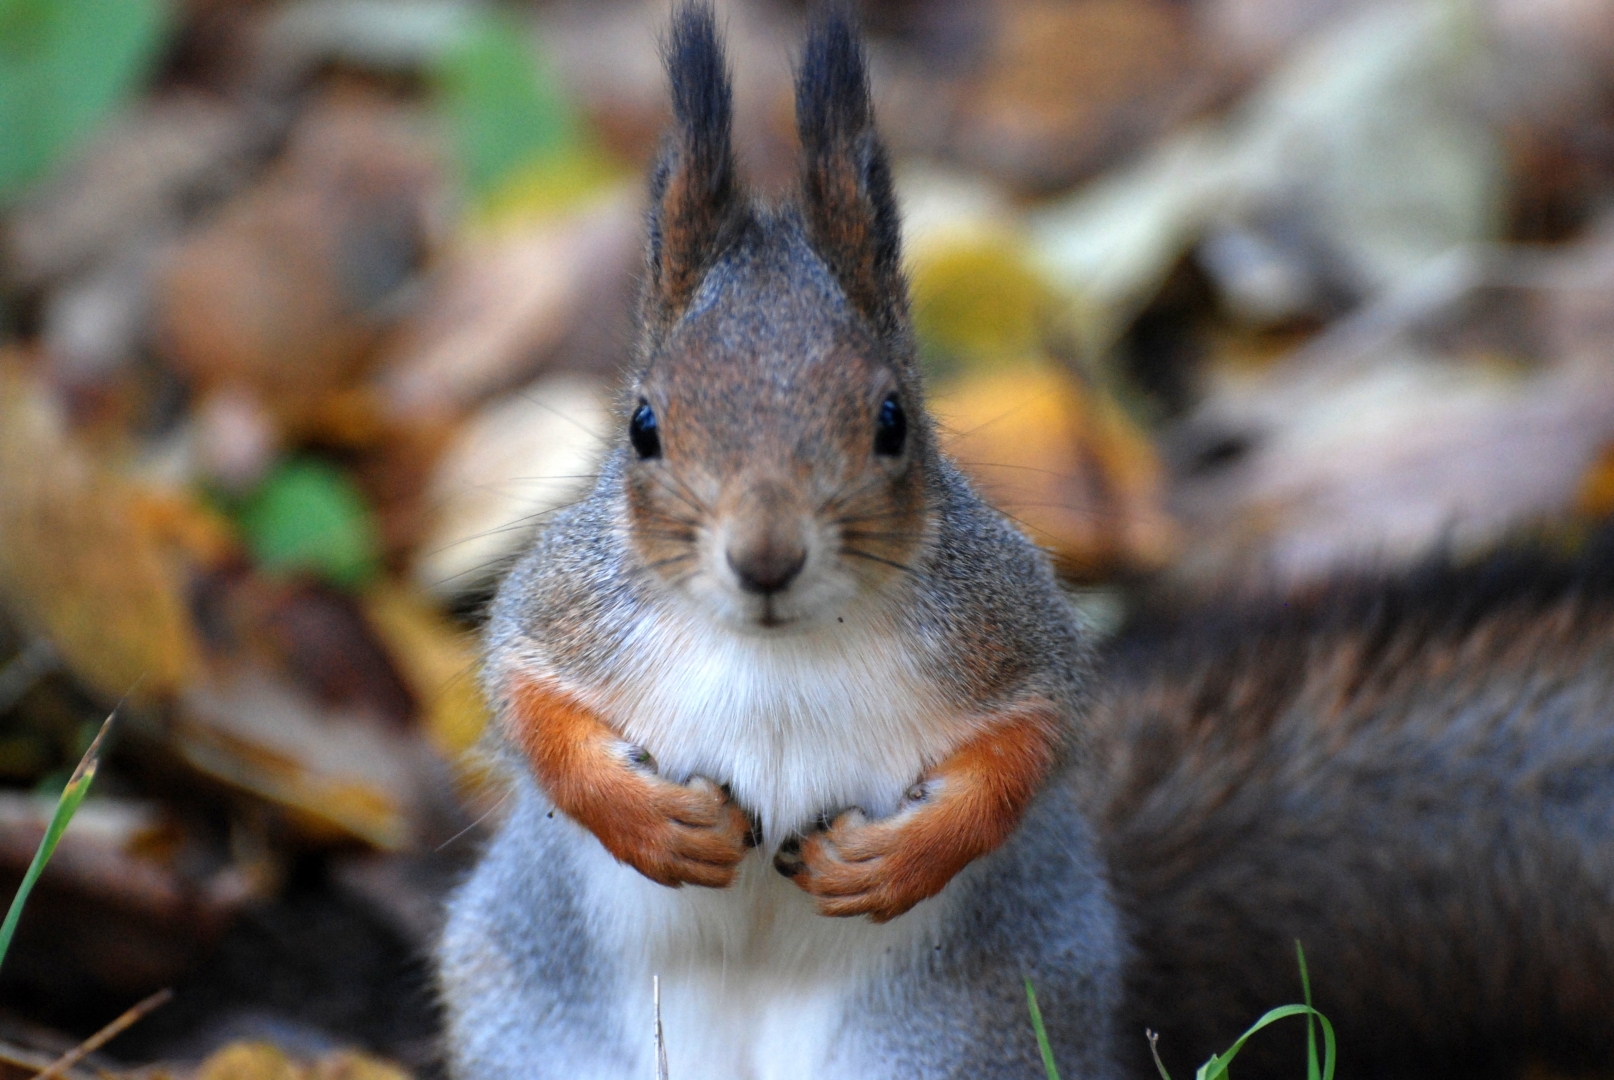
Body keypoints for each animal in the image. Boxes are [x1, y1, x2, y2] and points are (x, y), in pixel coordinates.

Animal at [435, 8, 1123, 1078]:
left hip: (953, 1043)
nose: (765, 558)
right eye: (643, 425)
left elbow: (1034, 738)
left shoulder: (1000, 623)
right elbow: (525, 697)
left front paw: (895, 860)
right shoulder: (570, 607)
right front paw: (654, 826)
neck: (777, 650)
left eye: (892, 419)